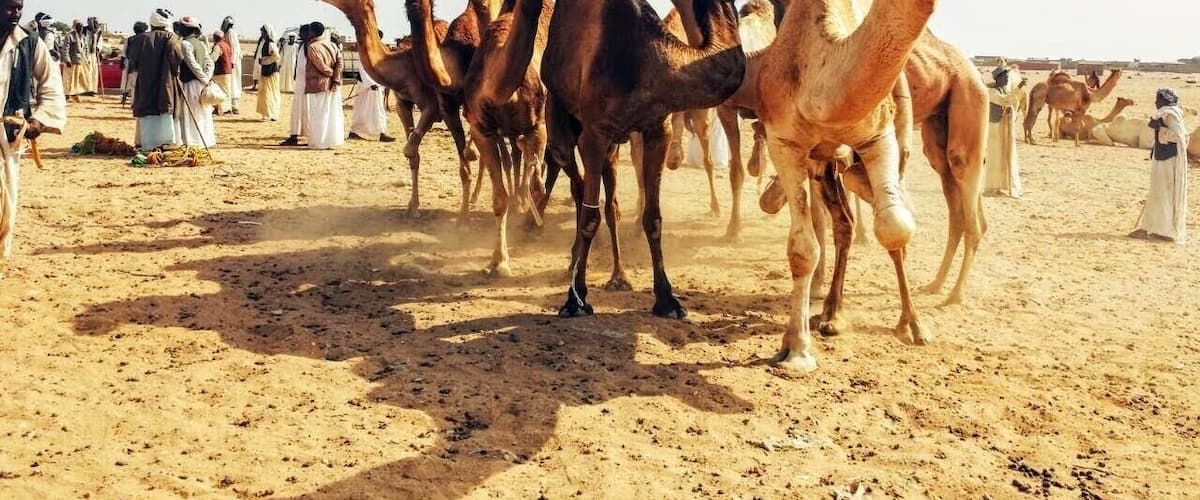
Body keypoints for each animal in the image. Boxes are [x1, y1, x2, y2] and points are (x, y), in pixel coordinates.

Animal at [317, 0, 448, 217]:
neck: (401, 65)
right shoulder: (403, 103)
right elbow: (413, 153)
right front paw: (412, 206)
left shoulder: (432, 106)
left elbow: (411, 150)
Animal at [541, 0, 745, 320]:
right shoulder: (594, 134)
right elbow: (589, 217)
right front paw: (575, 300)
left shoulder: (657, 129)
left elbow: (653, 217)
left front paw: (667, 299)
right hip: (561, 120)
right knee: (571, 174)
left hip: (613, 147)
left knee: (606, 196)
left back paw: (615, 275)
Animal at [753, 0, 937, 371]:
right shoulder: (784, 142)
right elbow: (803, 249)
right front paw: (796, 350)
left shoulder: (878, 135)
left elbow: (894, 228)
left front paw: (913, 324)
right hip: (825, 167)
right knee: (844, 223)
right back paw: (831, 313)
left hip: (868, 161)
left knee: (876, 218)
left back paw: (908, 323)